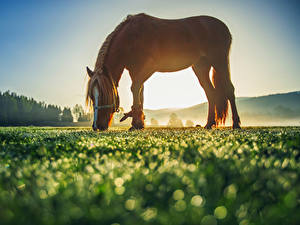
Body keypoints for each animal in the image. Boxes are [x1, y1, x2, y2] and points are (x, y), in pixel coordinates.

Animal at [85, 13, 240, 131]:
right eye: (92, 97)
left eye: (104, 95)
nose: (97, 126)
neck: (132, 37)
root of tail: (223, 26)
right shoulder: (135, 71)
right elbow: (139, 93)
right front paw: (139, 122)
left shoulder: (148, 67)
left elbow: (135, 88)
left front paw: (136, 123)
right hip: (201, 67)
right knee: (211, 93)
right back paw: (209, 123)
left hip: (219, 61)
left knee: (229, 89)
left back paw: (236, 124)